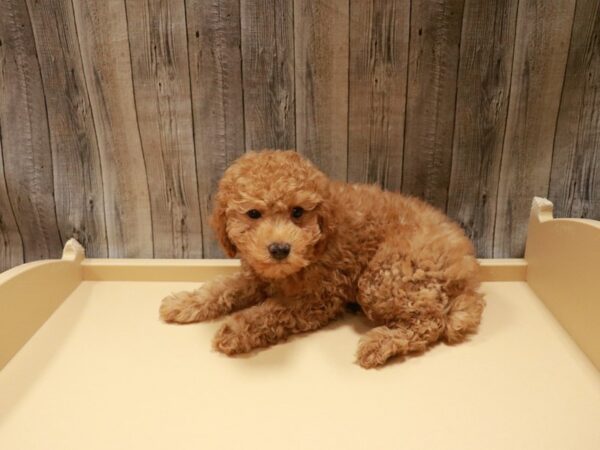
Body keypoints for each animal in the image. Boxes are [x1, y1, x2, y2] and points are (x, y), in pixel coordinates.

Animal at [158, 149, 482, 368]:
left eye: (297, 212)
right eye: (253, 214)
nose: (279, 249)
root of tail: (467, 269)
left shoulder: (316, 299)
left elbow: (271, 312)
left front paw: (235, 330)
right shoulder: (258, 276)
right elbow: (221, 289)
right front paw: (184, 303)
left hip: (385, 277)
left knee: (429, 321)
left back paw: (381, 343)